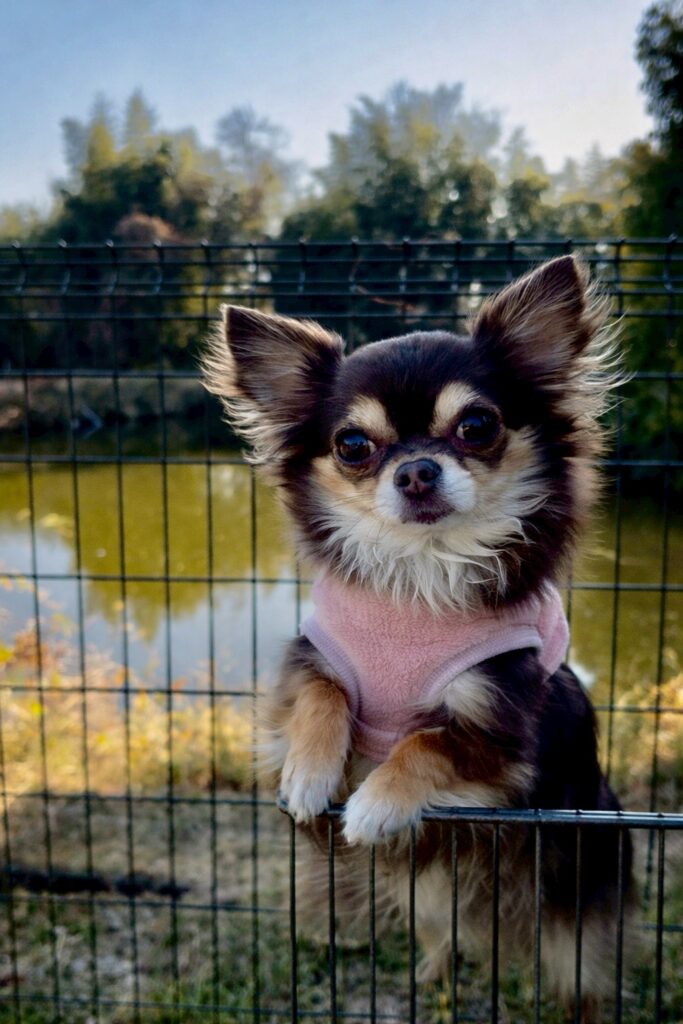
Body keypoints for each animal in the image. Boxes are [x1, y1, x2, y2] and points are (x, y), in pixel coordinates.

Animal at [202, 255, 634, 1016]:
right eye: (352, 445)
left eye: (476, 425)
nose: (415, 469)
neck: (420, 577)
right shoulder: (309, 663)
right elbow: (323, 699)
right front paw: (308, 773)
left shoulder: (502, 739)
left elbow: (427, 740)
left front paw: (376, 802)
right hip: (431, 896)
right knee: (440, 930)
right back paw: (432, 972)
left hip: (576, 908)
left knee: (582, 973)